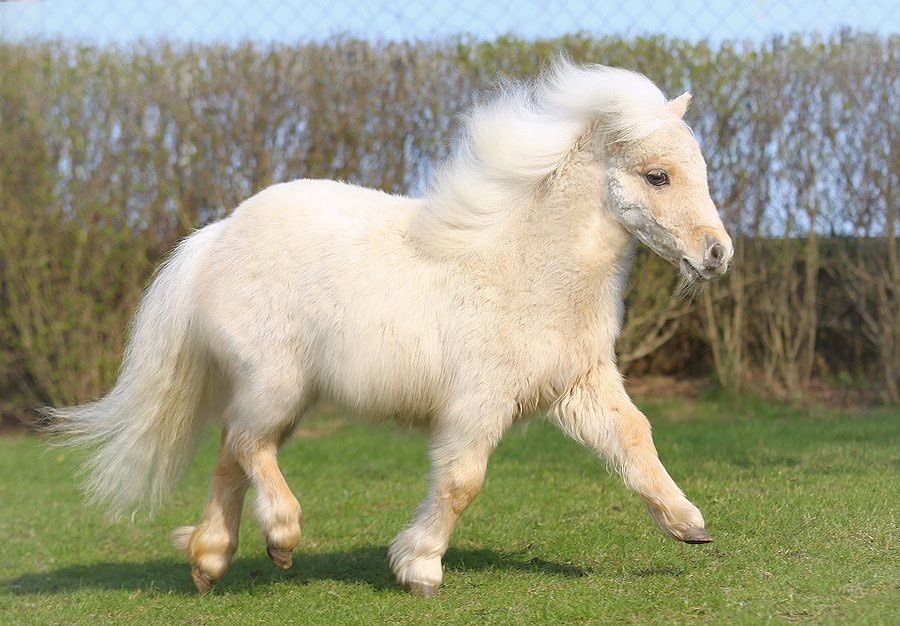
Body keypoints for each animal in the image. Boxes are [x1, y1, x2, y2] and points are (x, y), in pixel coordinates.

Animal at [49, 59, 732, 596]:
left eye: (699, 170)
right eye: (658, 176)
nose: (717, 254)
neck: (527, 270)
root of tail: (216, 238)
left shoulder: (580, 386)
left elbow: (635, 438)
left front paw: (689, 524)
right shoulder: (478, 406)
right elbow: (461, 481)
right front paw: (419, 568)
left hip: (282, 394)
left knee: (232, 451)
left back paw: (210, 559)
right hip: (276, 383)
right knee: (245, 444)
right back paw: (282, 537)